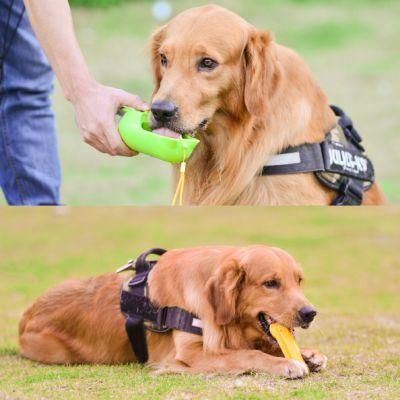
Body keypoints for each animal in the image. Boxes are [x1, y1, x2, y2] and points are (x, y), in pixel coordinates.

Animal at [18, 244, 326, 378]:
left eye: (298, 280)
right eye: (270, 283)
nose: (310, 313)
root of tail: (27, 314)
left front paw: (308, 355)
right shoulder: (189, 355)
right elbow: (248, 354)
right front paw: (288, 364)